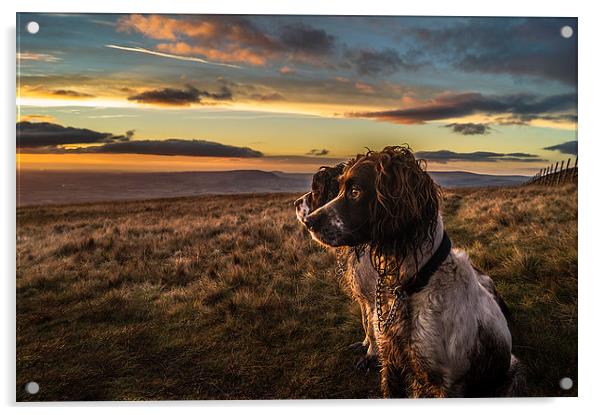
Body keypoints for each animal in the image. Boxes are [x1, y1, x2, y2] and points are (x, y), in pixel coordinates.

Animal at [298, 148, 524, 398]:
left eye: (355, 192)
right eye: (337, 190)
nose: (308, 222)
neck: (409, 287)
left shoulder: (447, 385)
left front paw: (367, 355)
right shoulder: (390, 357)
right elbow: (369, 326)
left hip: (512, 372)